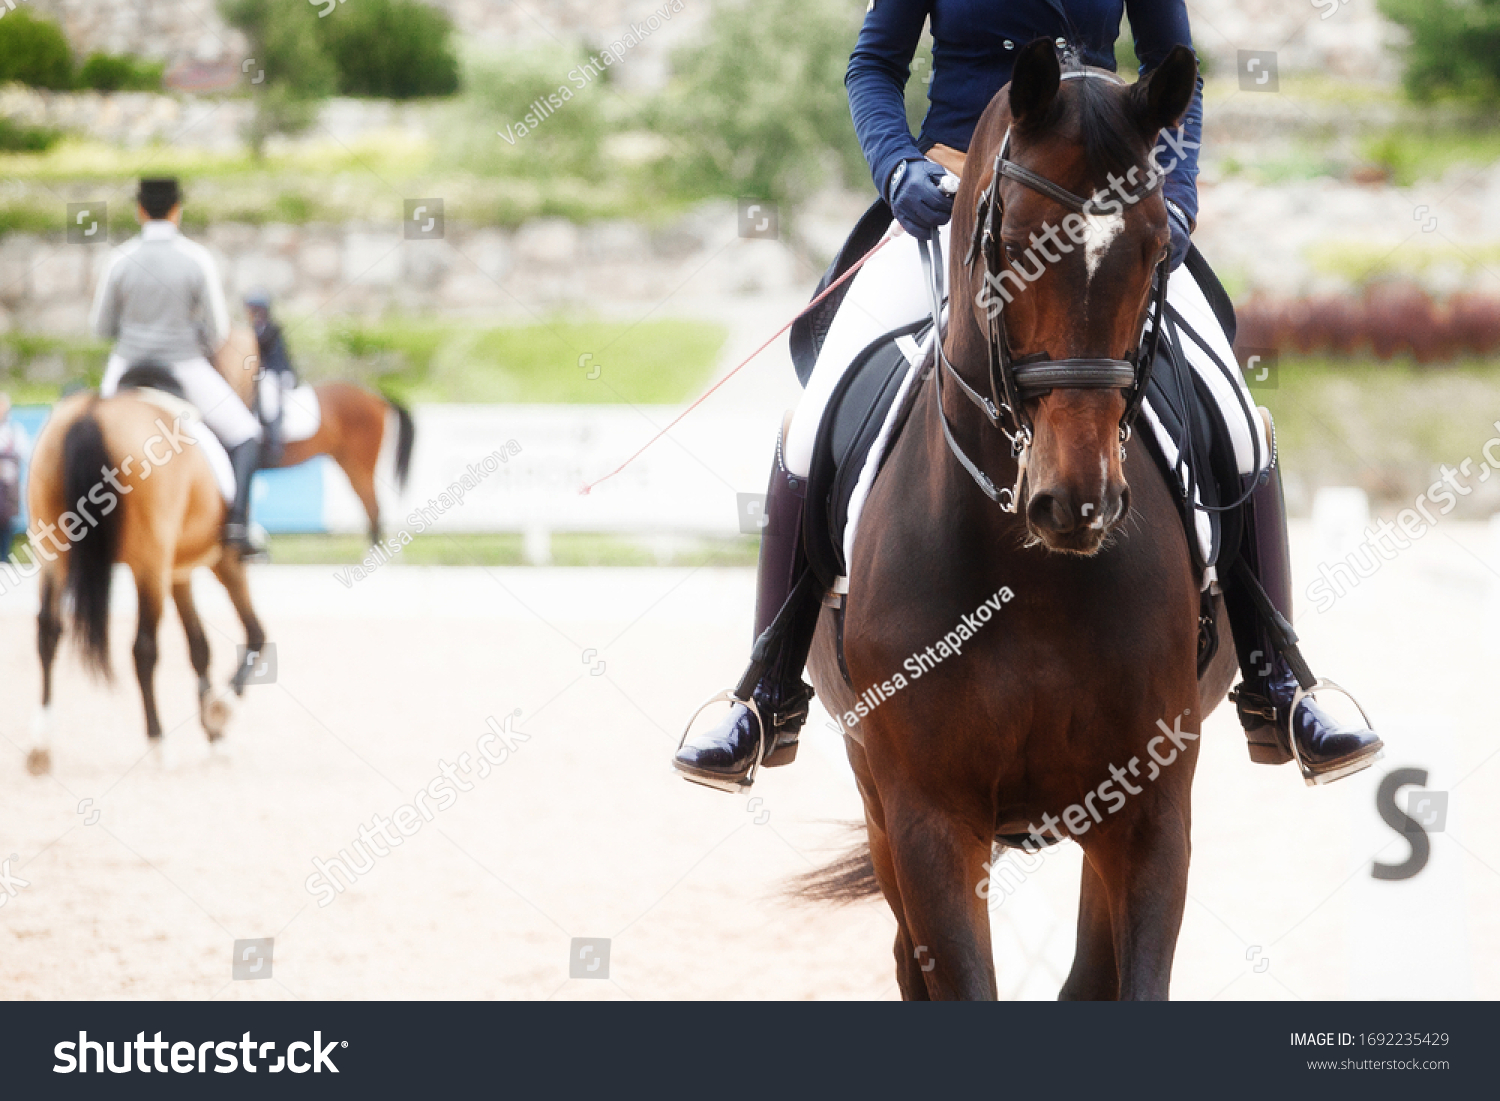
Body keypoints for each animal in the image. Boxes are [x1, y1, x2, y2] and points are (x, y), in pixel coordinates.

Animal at [24, 382, 268, 774]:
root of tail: (94, 411)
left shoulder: (179, 574)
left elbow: (200, 649)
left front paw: (214, 737)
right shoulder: (223, 562)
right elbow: (256, 635)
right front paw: (219, 713)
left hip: (53, 556)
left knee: (48, 632)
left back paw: (40, 747)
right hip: (149, 565)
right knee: (143, 649)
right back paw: (158, 744)